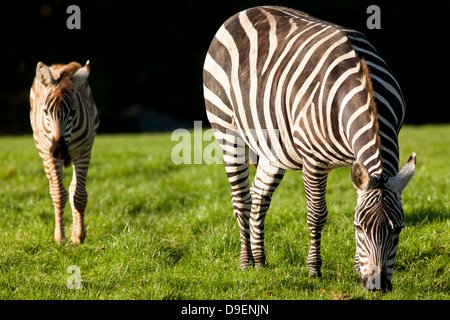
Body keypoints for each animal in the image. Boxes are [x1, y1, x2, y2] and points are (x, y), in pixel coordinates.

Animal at [30, 60, 99, 245]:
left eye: (73, 112)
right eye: (46, 111)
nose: (59, 151)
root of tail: (59, 65)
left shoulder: (83, 152)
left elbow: (79, 195)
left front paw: (79, 236)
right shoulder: (49, 154)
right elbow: (58, 194)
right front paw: (60, 238)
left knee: (74, 187)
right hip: (43, 152)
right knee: (54, 188)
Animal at [202, 5, 416, 290]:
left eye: (398, 229)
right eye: (358, 228)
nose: (377, 286)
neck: (365, 90)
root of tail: (244, 12)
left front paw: (354, 267)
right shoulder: (314, 160)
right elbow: (317, 214)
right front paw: (314, 269)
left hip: (273, 148)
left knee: (259, 197)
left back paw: (260, 261)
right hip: (227, 129)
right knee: (241, 199)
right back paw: (246, 261)